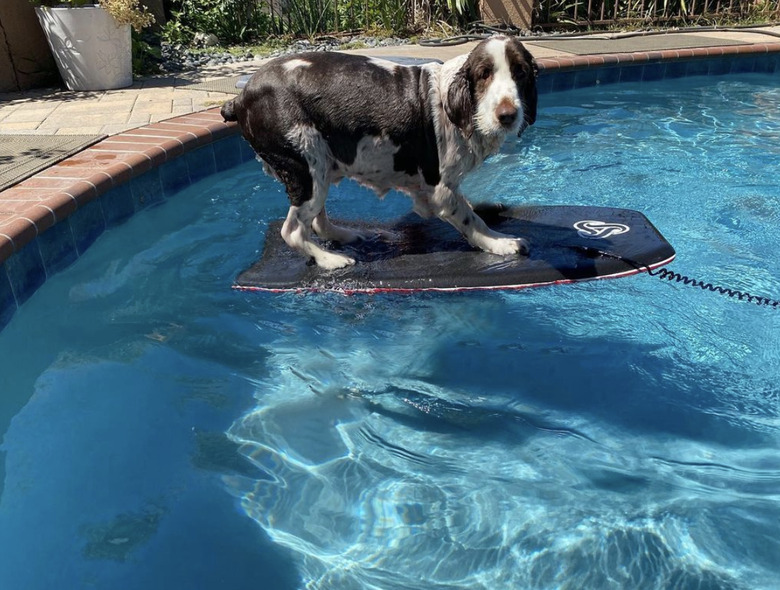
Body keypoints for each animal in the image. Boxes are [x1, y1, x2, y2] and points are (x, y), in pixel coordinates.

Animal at [219, 34, 536, 270]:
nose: (508, 115)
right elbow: (471, 220)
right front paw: (501, 242)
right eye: (484, 74)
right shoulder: (441, 191)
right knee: (293, 230)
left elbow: (469, 206)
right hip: (305, 165)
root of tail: (240, 98)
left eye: (520, 72)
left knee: (317, 220)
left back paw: (344, 235)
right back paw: (330, 259)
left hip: (320, 167)